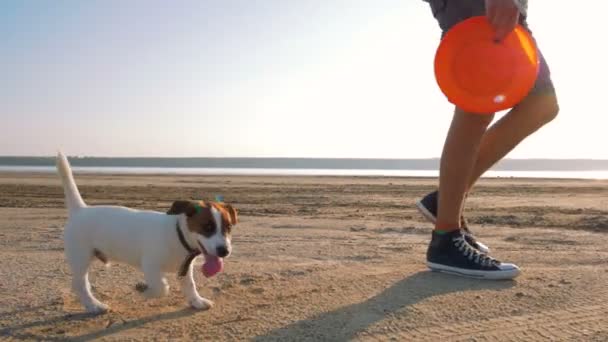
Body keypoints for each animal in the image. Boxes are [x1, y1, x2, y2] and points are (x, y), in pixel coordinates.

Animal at [57, 152, 238, 312]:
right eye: (207, 227)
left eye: (228, 227)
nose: (224, 251)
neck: (177, 235)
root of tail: (80, 209)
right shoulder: (150, 265)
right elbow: (162, 287)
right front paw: (145, 293)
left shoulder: (185, 269)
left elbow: (190, 286)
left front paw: (197, 301)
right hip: (81, 258)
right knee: (79, 284)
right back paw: (94, 305)